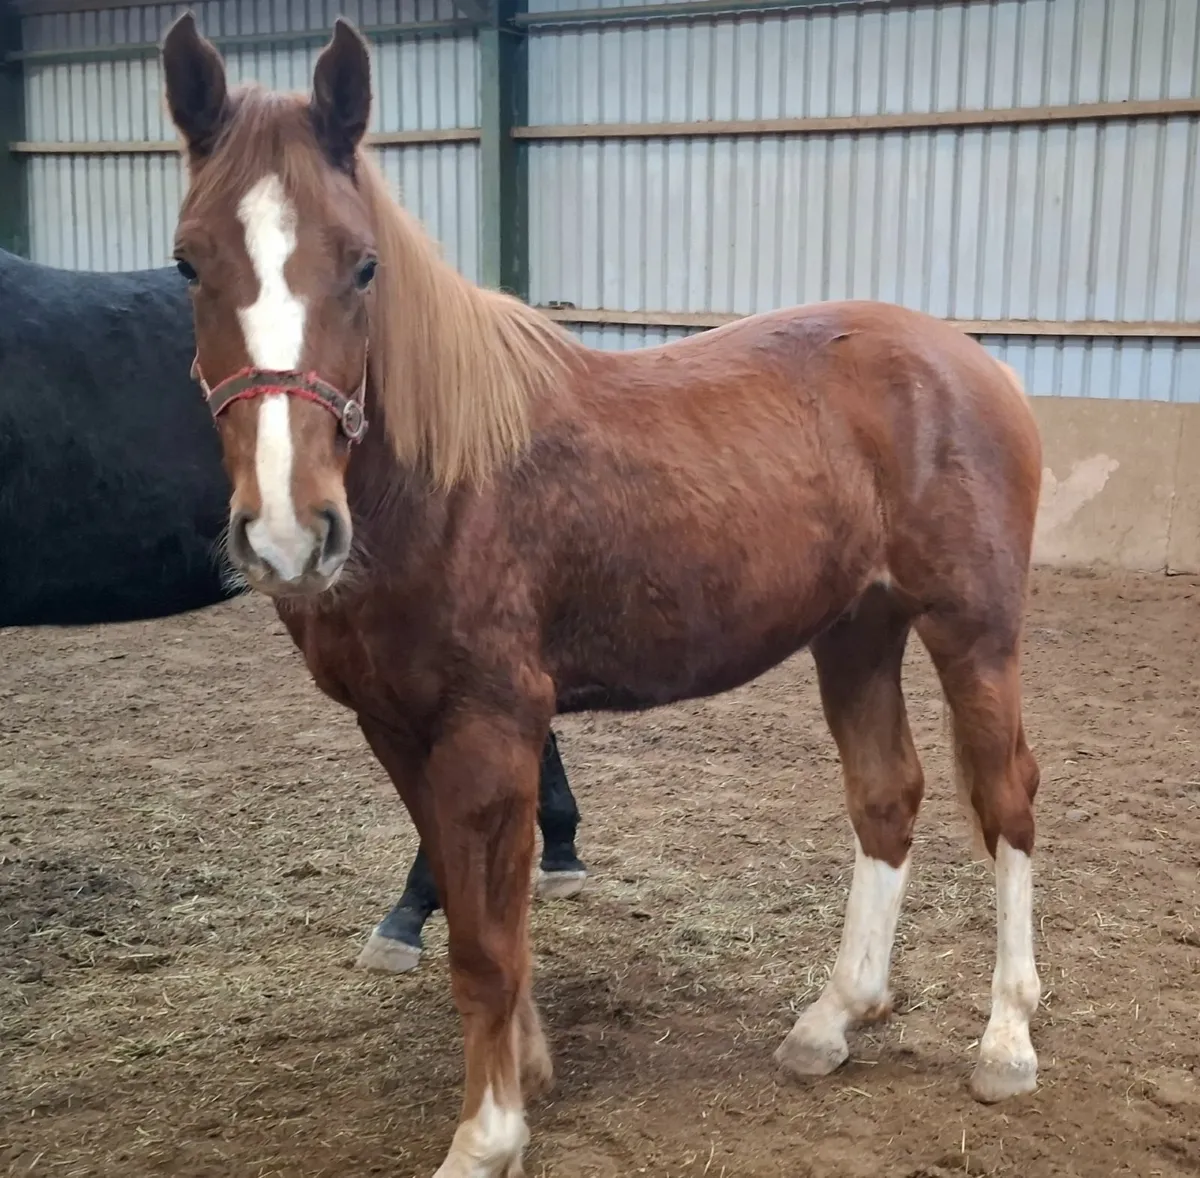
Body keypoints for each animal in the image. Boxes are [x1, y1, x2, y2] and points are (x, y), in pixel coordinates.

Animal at [160, 15, 1045, 1175]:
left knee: (1007, 799)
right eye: (188, 262)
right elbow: (468, 907)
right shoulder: (395, 728)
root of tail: (973, 364)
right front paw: (527, 1069)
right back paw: (834, 1018)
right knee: (887, 797)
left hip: (972, 632)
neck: (445, 481)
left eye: (362, 264)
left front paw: (487, 1132)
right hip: (857, 630)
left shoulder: (490, 724)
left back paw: (1007, 1040)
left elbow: (487, 943)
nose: (286, 533)